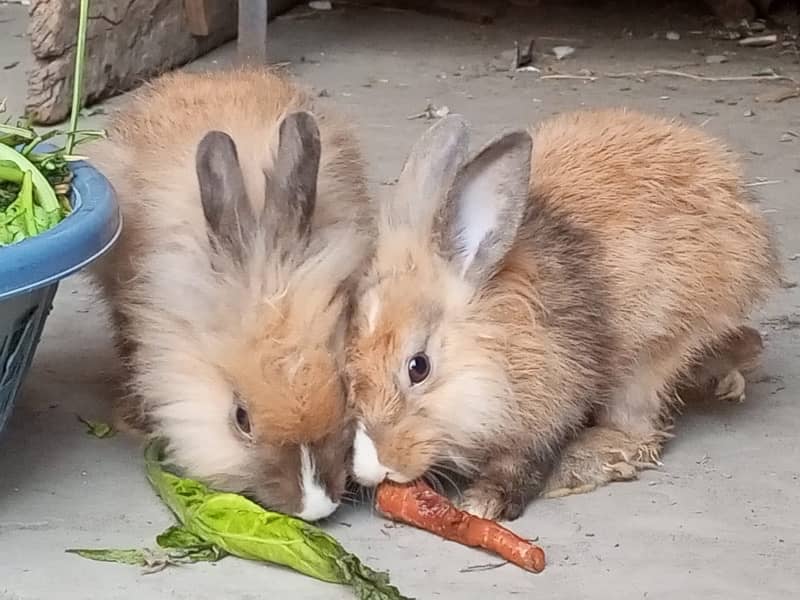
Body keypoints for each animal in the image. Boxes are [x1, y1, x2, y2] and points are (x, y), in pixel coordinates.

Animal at [346, 109, 780, 520]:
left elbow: (522, 458)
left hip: (652, 355)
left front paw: (483, 504)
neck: (495, 344)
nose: (375, 467)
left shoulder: (549, 403)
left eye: (418, 367)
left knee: (637, 430)